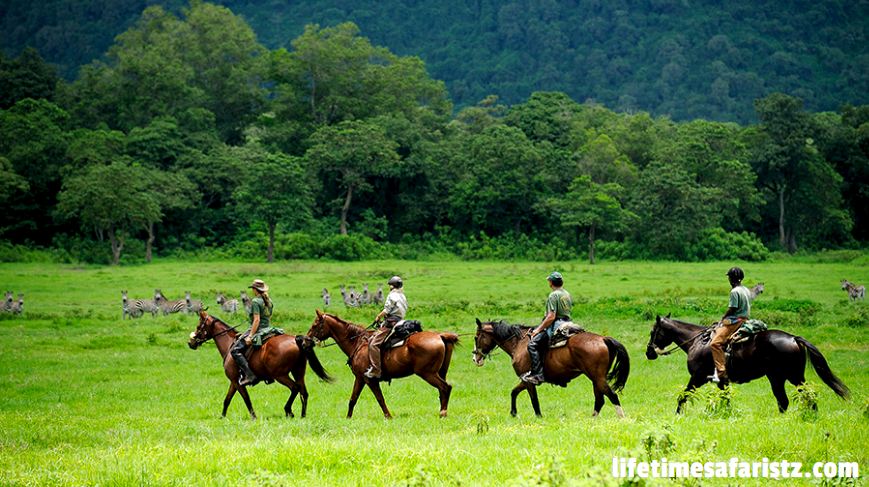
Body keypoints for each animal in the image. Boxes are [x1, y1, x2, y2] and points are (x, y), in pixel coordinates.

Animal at [186, 312, 332, 420]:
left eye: (199, 326)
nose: (190, 343)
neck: (229, 345)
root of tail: (295, 340)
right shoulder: (234, 382)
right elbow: (227, 400)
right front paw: (222, 417)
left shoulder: (237, 382)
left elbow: (246, 399)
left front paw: (254, 417)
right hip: (298, 372)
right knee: (304, 392)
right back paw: (303, 415)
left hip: (280, 375)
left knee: (295, 388)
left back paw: (288, 411)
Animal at [306, 312, 458, 420]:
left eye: (314, 325)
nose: (306, 340)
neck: (358, 343)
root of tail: (439, 336)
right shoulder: (360, 379)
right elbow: (353, 399)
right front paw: (348, 418)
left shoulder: (369, 380)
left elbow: (380, 398)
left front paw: (388, 416)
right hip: (439, 372)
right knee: (442, 390)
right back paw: (442, 412)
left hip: (427, 373)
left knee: (445, 387)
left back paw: (443, 413)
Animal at [472, 318, 628, 418]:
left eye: (476, 337)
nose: (475, 358)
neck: (519, 343)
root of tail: (603, 339)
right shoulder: (524, 380)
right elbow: (514, 392)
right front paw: (513, 413)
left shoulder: (528, 381)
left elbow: (534, 400)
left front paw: (539, 417)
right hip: (596, 379)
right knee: (600, 399)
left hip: (597, 378)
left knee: (612, 396)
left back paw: (621, 418)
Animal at [644, 314, 848, 414]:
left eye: (653, 331)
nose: (649, 353)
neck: (697, 341)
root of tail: (793, 338)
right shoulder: (721, 381)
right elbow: (725, 399)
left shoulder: (697, 377)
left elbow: (683, 396)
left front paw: (677, 415)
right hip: (778, 378)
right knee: (784, 400)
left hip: (792, 377)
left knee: (806, 395)